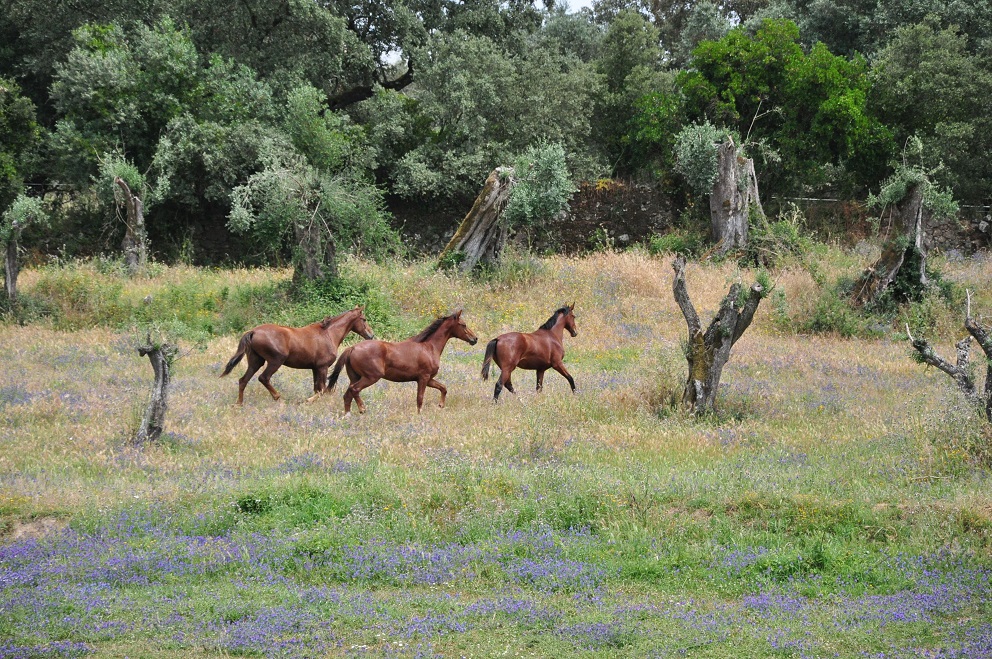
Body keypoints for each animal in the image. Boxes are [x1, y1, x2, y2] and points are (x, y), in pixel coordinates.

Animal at [220, 306, 374, 405]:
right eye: (364, 319)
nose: (371, 335)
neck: (328, 334)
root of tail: (253, 331)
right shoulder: (322, 367)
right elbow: (322, 389)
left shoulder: (315, 368)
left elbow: (317, 388)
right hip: (275, 361)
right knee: (263, 378)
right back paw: (277, 397)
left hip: (256, 361)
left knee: (243, 380)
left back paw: (239, 403)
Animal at [327, 310, 478, 414]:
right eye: (463, 325)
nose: (475, 339)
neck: (429, 347)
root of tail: (352, 348)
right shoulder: (423, 378)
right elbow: (420, 398)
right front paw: (420, 415)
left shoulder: (428, 379)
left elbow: (443, 388)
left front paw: (440, 405)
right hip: (371, 377)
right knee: (354, 390)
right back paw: (362, 409)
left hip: (355, 377)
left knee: (347, 395)